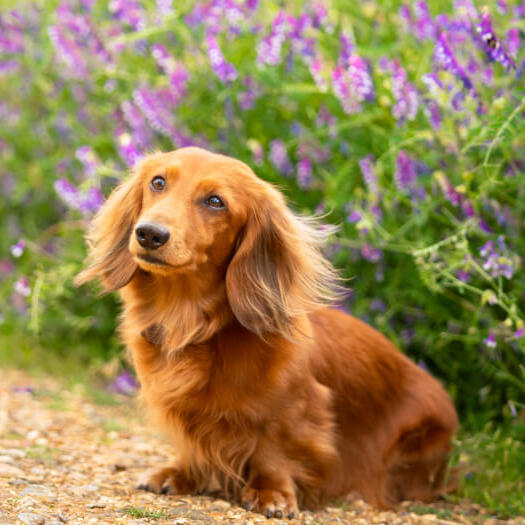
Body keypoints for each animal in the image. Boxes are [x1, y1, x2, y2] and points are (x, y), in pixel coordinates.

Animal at [75, 146, 456, 516]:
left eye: (216, 201)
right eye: (158, 182)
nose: (149, 233)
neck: (194, 322)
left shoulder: (296, 408)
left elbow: (273, 451)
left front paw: (272, 494)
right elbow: (190, 444)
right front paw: (179, 474)